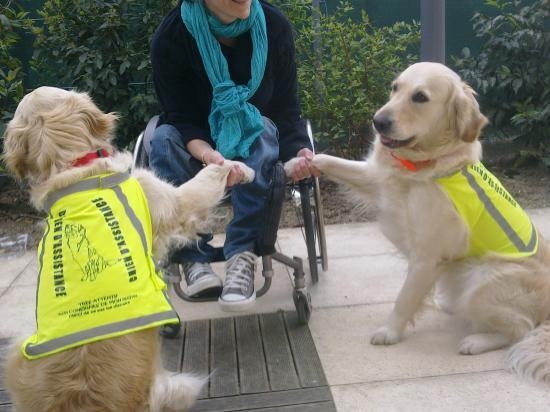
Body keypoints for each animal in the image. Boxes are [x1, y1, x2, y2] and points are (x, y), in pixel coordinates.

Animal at [308, 62, 550, 386]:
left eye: (420, 97)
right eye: (395, 88)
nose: (378, 122)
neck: (422, 166)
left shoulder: (427, 256)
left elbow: (404, 298)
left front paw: (390, 332)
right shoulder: (377, 179)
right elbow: (332, 161)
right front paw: (299, 161)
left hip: (481, 279)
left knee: (521, 327)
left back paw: (475, 341)